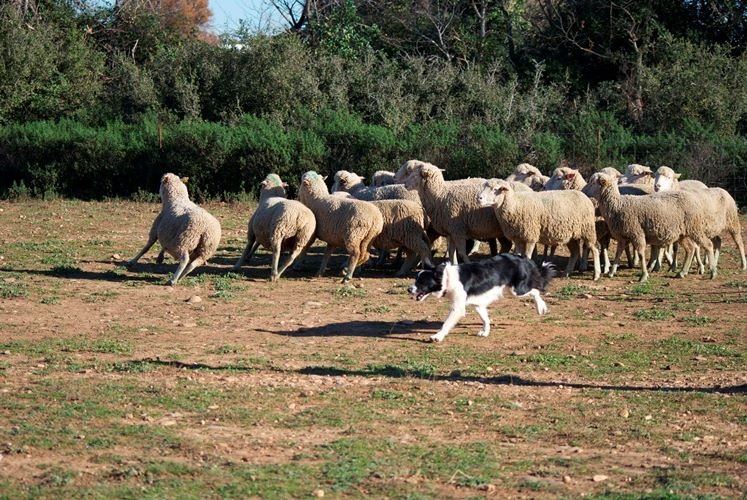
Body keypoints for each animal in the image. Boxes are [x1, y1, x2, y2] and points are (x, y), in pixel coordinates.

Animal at [410, 256, 556, 342]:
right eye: (416, 280)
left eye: (421, 282)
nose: (408, 289)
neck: (446, 278)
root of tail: (523, 258)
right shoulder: (478, 303)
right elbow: (485, 319)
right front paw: (486, 332)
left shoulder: (457, 308)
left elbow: (446, 323)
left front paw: (437, 336)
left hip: (517, 290)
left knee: (535, 291)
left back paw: (541, 307)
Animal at [588, 172, 716, 282]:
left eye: (592, 182)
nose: (585, 191)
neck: (617, 205)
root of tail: (695, 199)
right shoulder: (623, 236)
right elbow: (618, 253)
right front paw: (611, 272)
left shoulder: (637, 233)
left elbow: (640, 254)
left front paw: (644, 275)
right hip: (682, 233)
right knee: (690, 249)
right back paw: (682, 272)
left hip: (695, 227)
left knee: (708, 245)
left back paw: (713, 272)